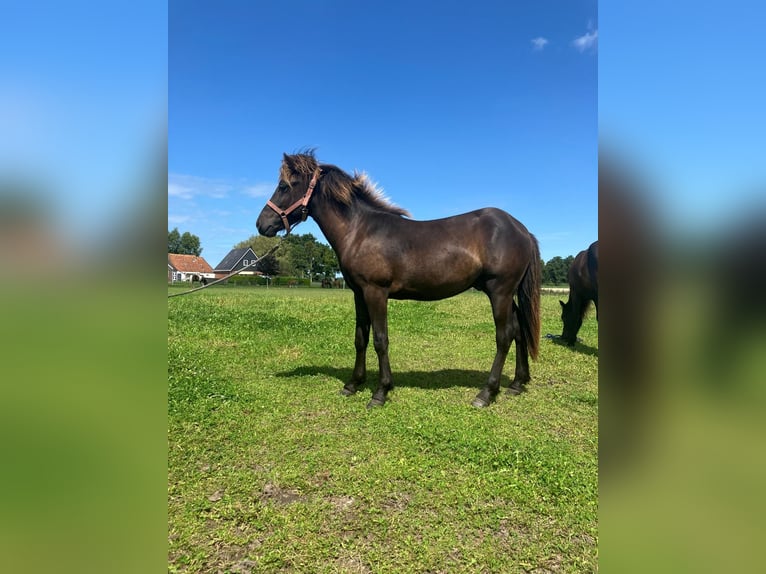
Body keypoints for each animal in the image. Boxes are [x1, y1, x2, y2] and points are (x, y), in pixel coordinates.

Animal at [255, 151, 544, 408]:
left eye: (284, 186)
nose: (262, 224)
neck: (360, 231)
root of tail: (521, 229)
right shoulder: (359, 293)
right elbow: (360, 338)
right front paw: (352, 384)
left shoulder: (376, 292)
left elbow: (380, 340)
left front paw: (380, 392)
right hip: (503, 293)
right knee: (519, 330)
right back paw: (516, 384)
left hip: (500, 291)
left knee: (504, 336)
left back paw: (486, 394)